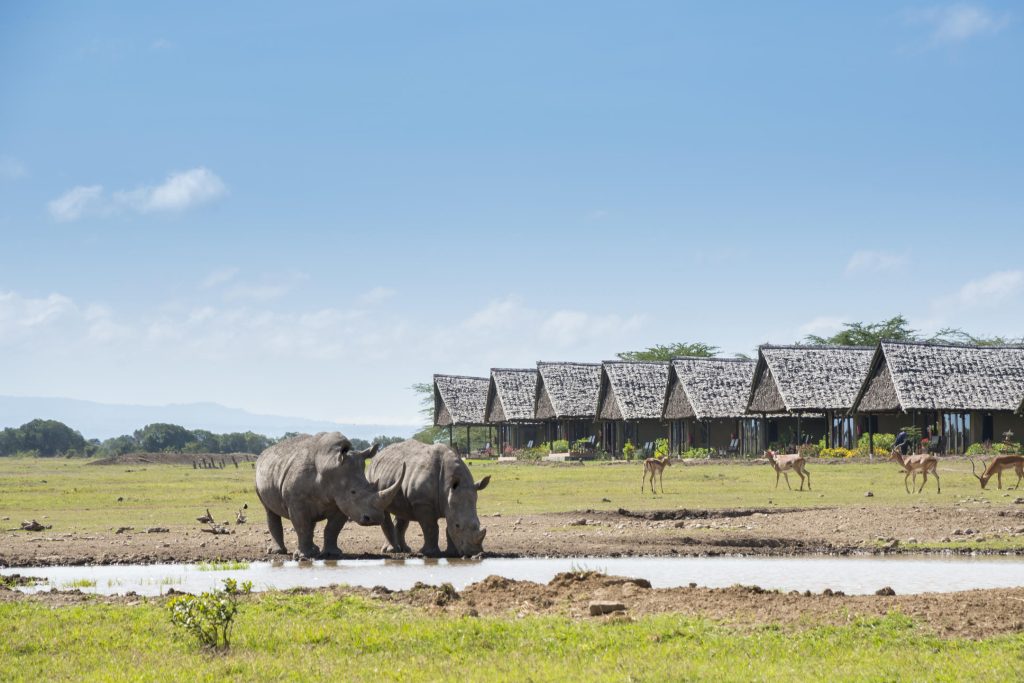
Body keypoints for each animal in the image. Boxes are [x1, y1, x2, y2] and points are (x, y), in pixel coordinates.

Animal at [255, 432, 404, 559]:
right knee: (269, 510)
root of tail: (265, 452)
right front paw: (304, 556)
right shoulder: (296, 502)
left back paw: (314, 550)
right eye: (353, 492)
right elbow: (302, 525)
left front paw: (332, 554)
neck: (329, 466)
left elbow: (333, 528)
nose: (375, 519)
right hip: (258, 473)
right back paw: (277, 552)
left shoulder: (342, 502)